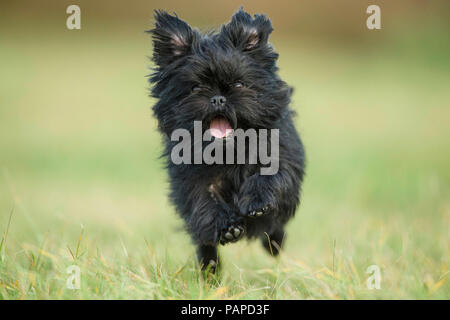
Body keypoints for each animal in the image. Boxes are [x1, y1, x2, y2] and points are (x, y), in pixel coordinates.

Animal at [149, 8, 306, 272]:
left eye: (239, 84)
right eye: (195, 88)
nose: (218, 98)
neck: (230, 152)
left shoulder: (281, 159)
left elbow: (270, 176)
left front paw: (257, 201)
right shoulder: (191, 181)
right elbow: (204, 203)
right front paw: (227, 227)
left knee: (274, 229)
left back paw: (274, 245)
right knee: (204, 242)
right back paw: (209, 270)